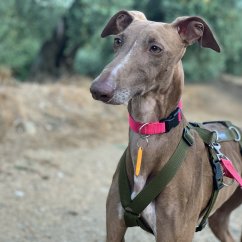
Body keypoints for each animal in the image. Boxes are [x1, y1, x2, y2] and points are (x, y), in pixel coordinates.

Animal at [89, 9, 242, 242]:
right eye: (118, 41)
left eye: (155, 48)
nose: (98, 89)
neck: (149, 131)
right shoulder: (114, 226)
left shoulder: (174, 233)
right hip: (220, 218)